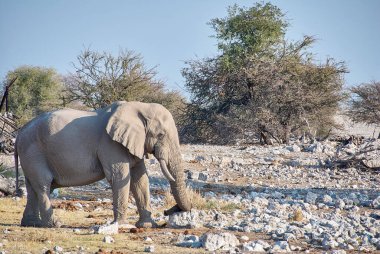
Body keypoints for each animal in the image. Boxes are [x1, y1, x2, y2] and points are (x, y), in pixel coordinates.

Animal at [14, 101, 193, 228]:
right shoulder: (110, 144)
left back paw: (31, 224)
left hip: (30, 156)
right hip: (34, 153)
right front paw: (121, 225)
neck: (140, 106)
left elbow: (140, 180)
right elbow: (119, 177)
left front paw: (147, 225)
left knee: (33, 187)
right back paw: (54, 224)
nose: (168, 210)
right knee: (43, 185)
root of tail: (19, 134)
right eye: (161, 135)